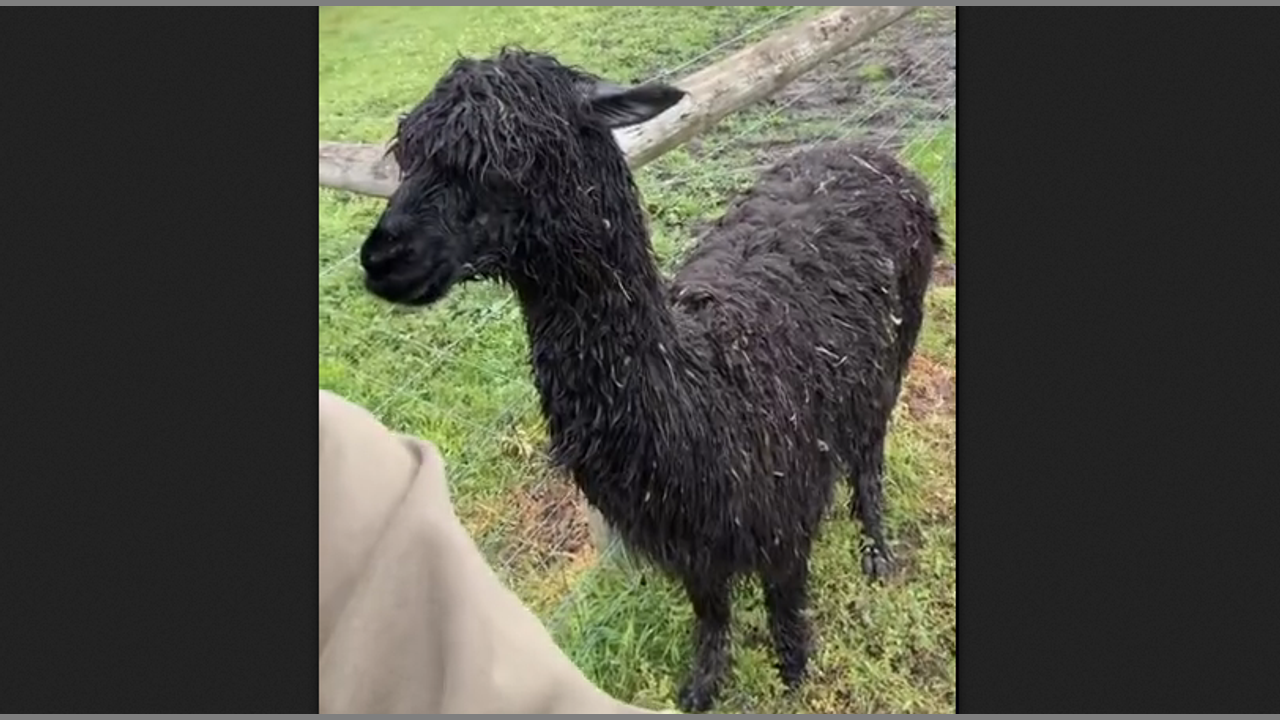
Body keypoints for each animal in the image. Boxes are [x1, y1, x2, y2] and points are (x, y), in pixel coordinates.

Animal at [358, 48, 943, 712]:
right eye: (407, 153)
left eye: (509, 158)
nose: (382, 258)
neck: (707, 388)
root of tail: (866, 151)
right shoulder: (690, 539)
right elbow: (711, 613)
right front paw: (701, 688)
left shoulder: (783, 514)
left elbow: (785, 606)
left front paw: (794, 674)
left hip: (897, 340)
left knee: (870, 450)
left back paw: (877, 549)